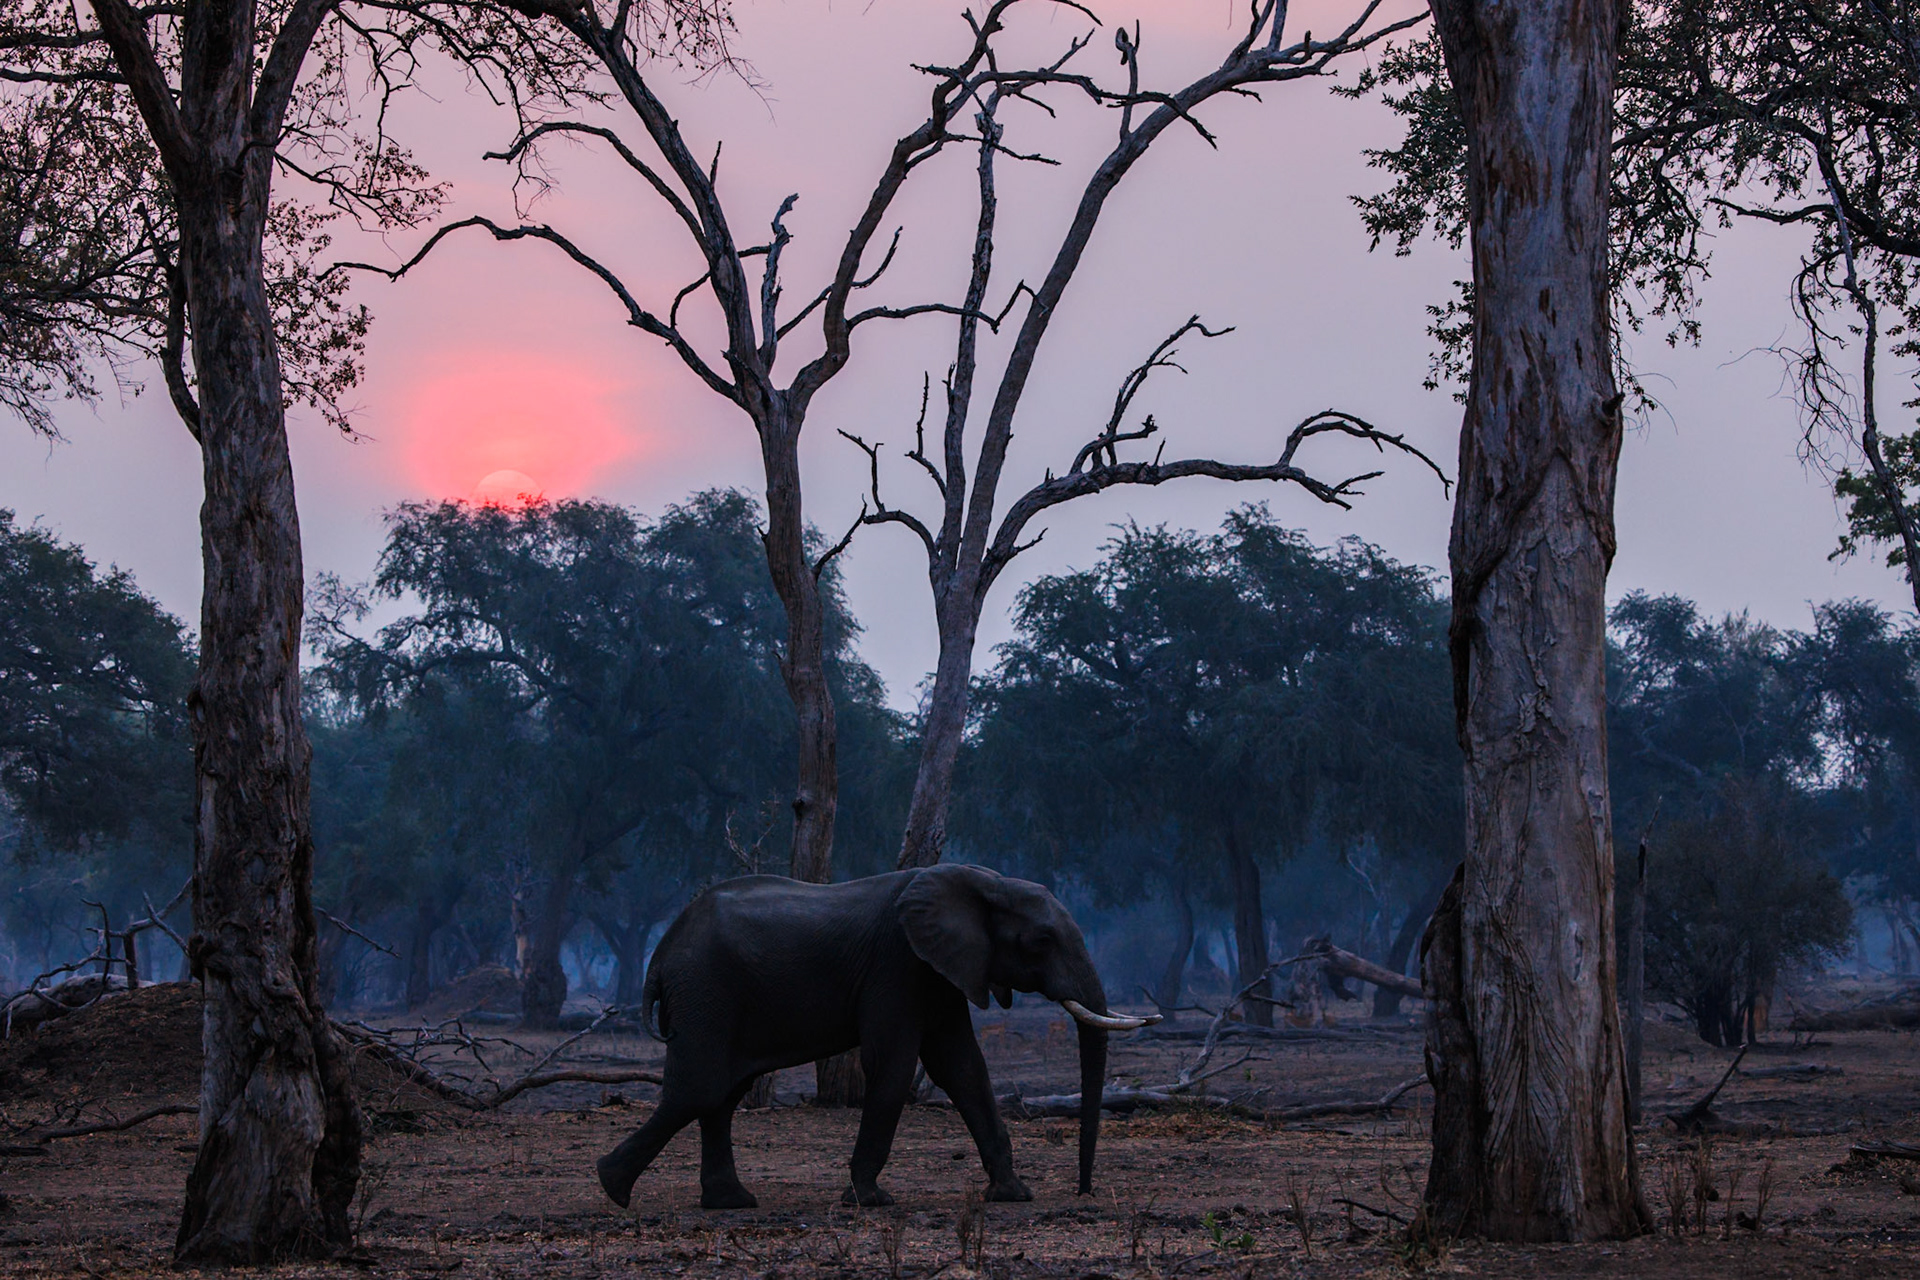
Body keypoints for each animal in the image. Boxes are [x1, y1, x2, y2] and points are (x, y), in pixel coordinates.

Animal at [594, 863, 1157, 1210]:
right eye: (1040, 941)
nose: (1084, 1192)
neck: (984, 880)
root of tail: (661, 956)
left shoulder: (941, 971)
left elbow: (963, 1068)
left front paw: (1014, 1195)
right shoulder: (898, 964)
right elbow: (894, 1064)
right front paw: (870, 1202)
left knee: (722, 1096)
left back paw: (730, 1203)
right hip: (706, 992)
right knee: (700, 1089)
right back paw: (612, 1186)